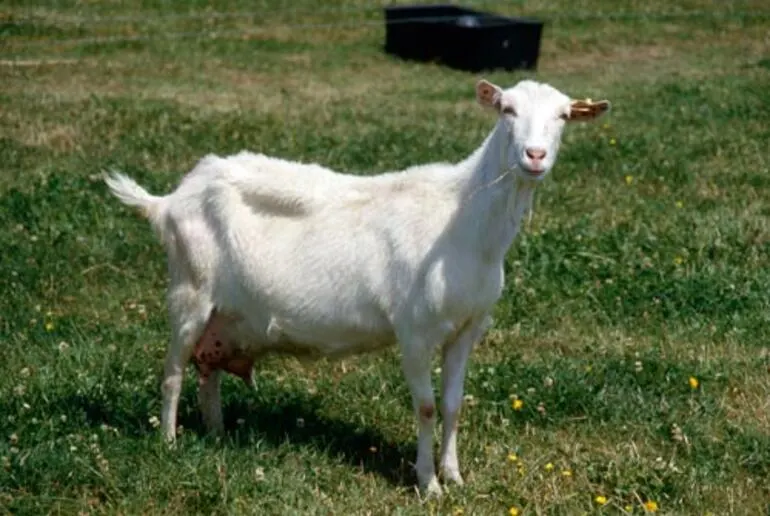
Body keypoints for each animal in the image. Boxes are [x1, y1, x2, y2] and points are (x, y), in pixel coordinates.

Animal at [105, 77, 608, 496]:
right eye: (506, 109)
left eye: (564, 115)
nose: (535, 156)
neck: (462, 218)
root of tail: (169, 200)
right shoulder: (414, 330)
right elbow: (426, 407)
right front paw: (428, 485)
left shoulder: (469, 327)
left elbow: (453, 404)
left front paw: (455, 476)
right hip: (189, 291)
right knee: (173, 372)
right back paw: (169, 443)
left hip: (222, 314)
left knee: (207, 370)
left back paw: (216, 435)